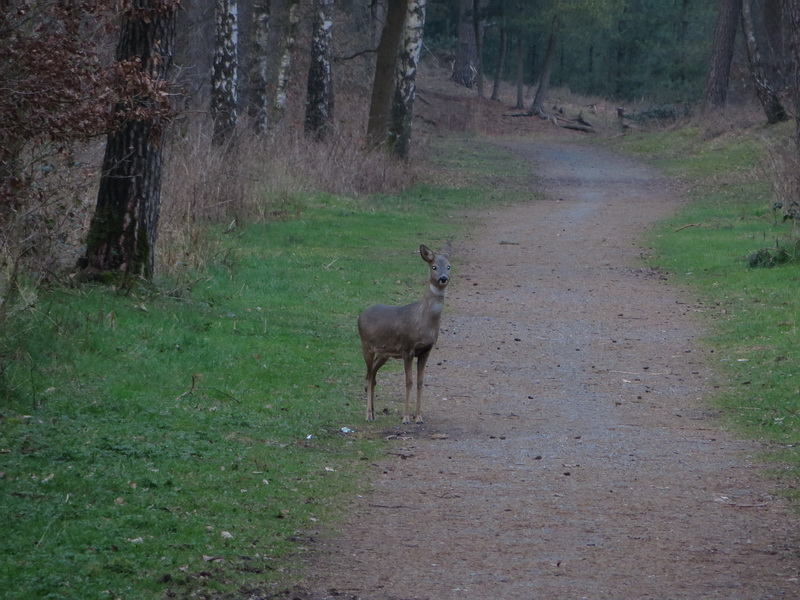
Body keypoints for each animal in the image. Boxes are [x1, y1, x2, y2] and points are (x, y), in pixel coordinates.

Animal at [357, 242, 452, 424]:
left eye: (449, 266)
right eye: (434, 266)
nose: (443, 278)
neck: (424, 322)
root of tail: (360, 315)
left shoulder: (426, 350)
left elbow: (420, 381)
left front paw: (419, 417)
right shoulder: (408, 349)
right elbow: (408, 381)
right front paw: (406, 417)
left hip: (384, 353)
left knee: (373, 376)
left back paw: (374, 413)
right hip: (366, 345)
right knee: (368, 376)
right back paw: (367, 415)